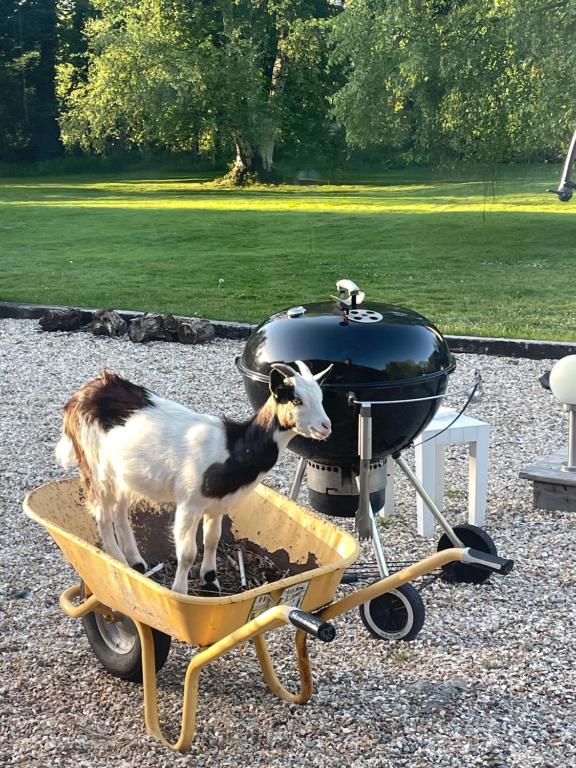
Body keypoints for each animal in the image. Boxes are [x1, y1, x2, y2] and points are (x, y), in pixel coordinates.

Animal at [55, 360, 332, 592]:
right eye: (296, 400)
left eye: (321, 397)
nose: (326, 426)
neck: (233, 448)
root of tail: (81, 395)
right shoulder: (190, 503)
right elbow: (188, 552)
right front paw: (180, 591)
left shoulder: (217, 505)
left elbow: (212, 540)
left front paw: (210, 580)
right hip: (94, 463)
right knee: (102, 512)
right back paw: (117, 559)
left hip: (123, 473)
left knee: (119, 509)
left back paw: (136, 562)